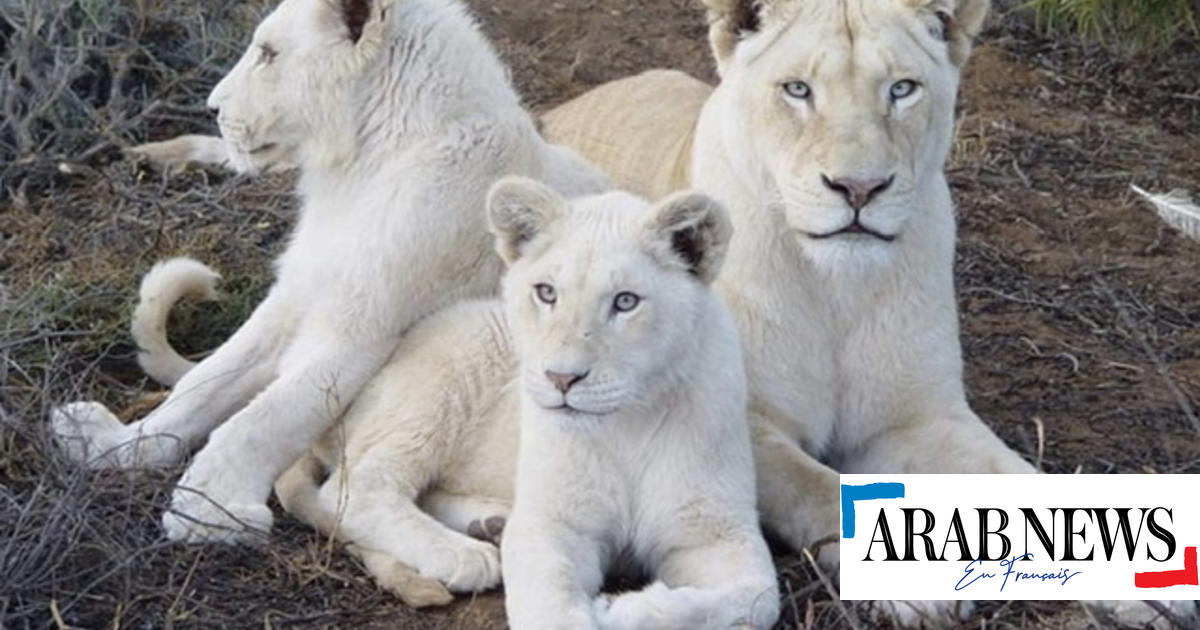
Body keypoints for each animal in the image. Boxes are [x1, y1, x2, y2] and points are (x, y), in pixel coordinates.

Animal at [50, 0, 604, 540]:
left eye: (268, 54)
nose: (212, 108)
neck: (364, 164)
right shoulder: (297, 293)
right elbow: (207, 381)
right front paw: (110, 444)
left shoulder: (359, 328)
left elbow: (266, 416)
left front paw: (207, 510)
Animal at [256, 177, 777, 628]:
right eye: (546, 292)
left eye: (626, 302)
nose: (562, 378)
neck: (626, 423)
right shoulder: (552, 525)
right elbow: (552, 611)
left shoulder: (713, 533)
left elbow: (757, 598)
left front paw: (623, 610)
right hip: (448, 369)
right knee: (354, 487)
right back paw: (465, 555)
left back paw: (488, 524)